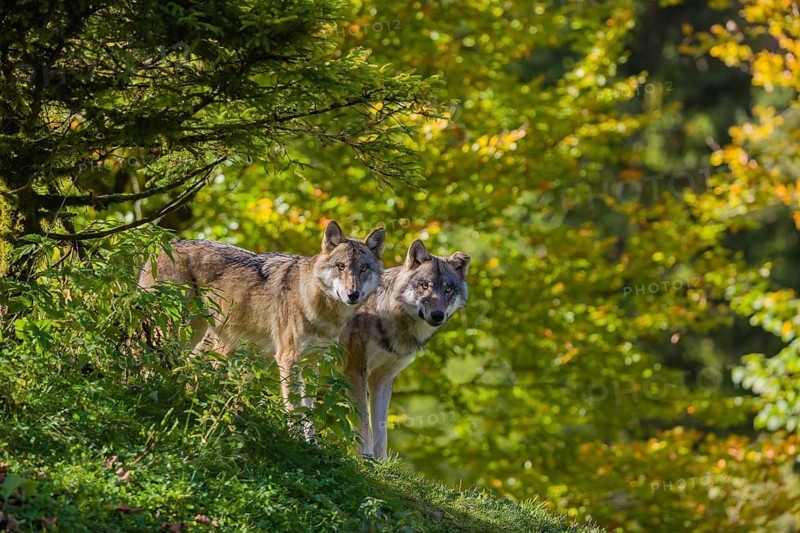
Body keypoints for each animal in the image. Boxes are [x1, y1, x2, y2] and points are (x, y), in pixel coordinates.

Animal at [138, 221, 385, 440]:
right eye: (340, 266)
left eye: (363, 269)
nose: (353, 295)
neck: (316, 305)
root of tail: (162, 246)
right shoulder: (287, 359)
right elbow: (293, 408)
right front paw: (294, 440)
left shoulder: (310, 364)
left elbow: (308, 413)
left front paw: (312, 445)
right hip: (172, 329)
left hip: (196, 335)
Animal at [340, 239, 470, 458]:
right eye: (424, 286)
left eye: (448, 289)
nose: (437, 315)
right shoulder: (355, 371)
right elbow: (363, 423)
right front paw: (365, 459)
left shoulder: (383, 379)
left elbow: (381, 429)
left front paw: (381, 462)